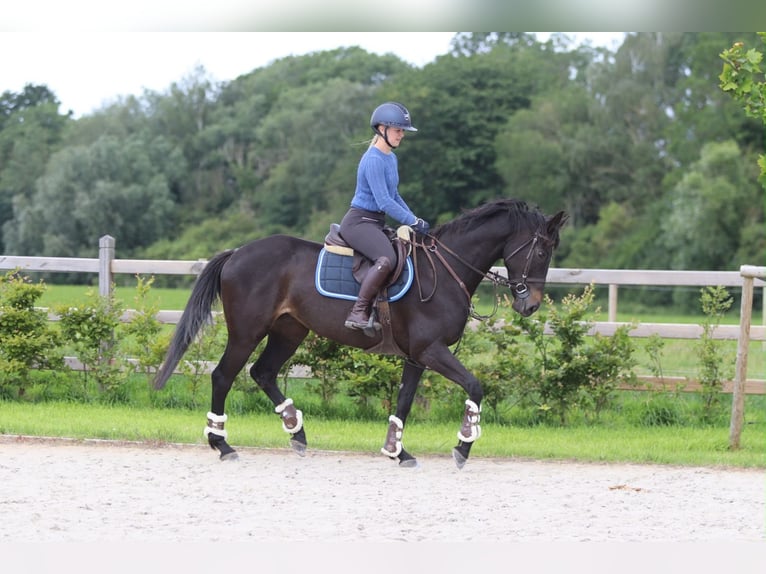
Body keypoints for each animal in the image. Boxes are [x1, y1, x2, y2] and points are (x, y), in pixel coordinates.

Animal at [152, 198, 567, 469]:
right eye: (542, 252)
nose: (530, 305)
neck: (447, 270)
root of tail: (238, 252)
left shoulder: (417, 356)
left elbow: (403, 402)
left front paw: (397, 451)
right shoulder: (431, 350)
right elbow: (475, 386)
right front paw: (463, 446)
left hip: (289, 332)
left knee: (263, 373)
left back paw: (296, 433)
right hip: (246, 332)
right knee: (224, 376)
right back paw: (222, 444)